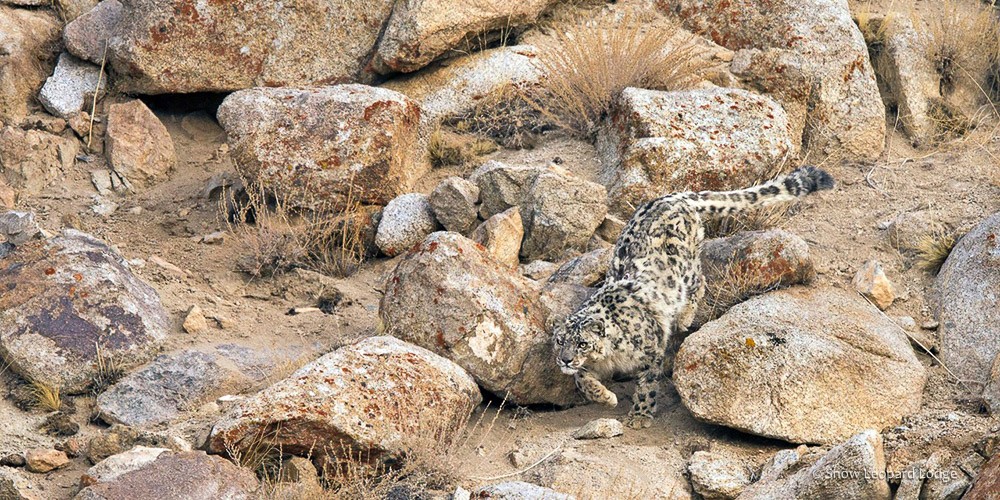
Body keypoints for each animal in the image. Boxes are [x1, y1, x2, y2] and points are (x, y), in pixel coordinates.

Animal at [552, 166, 834, 429]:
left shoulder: (652, 350)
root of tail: (674, 196)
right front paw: (605, 396)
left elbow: (647, 384)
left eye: (582, 343)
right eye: (560, 341)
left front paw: (640, 415)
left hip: (685, 267)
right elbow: (581, 379)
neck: (609, 357)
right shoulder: (588, 367)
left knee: (699, 281)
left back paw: (685, 317)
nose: (565, 359)